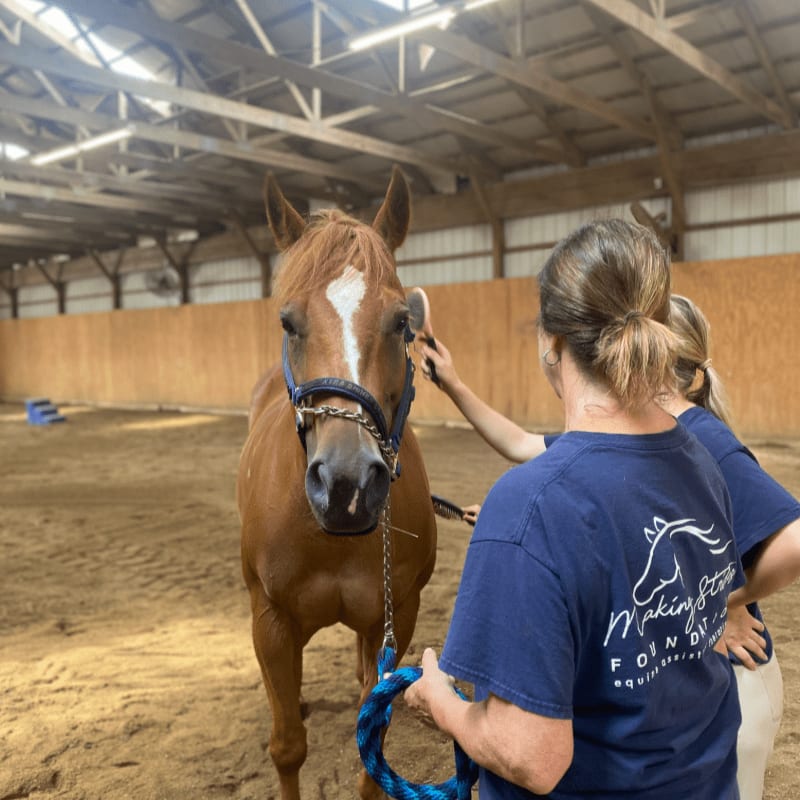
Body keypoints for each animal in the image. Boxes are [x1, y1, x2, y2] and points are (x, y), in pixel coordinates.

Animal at [237, 167, 437, 800]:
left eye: (402, 322)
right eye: (287, 321)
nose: (347, 484)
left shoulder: (394, 614)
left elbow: (371, 750)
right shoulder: (272, 623)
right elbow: (287, 747)